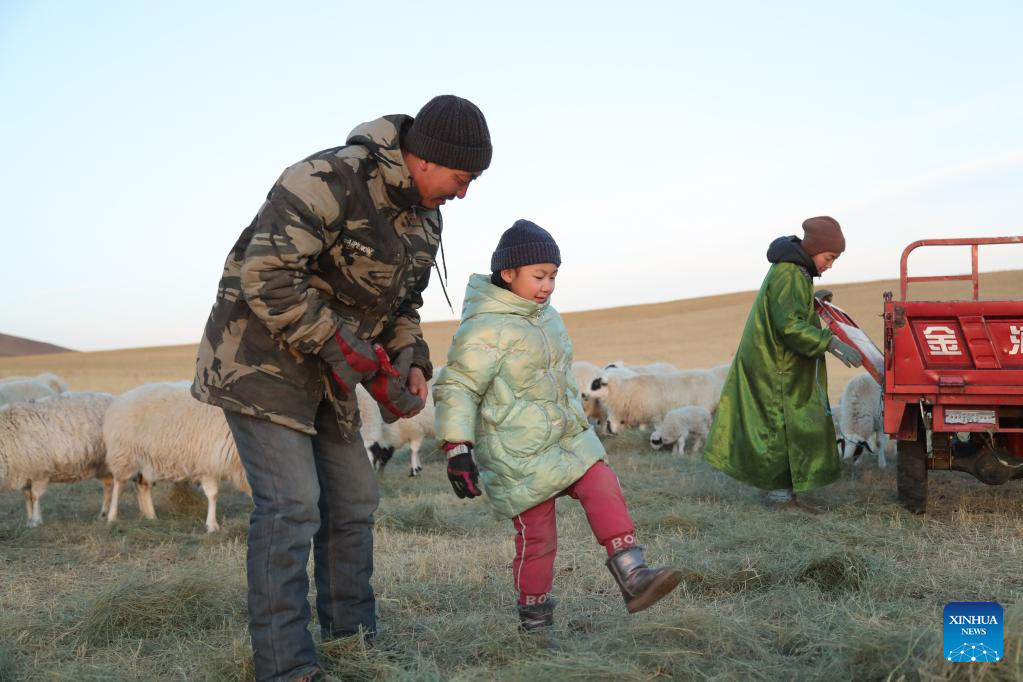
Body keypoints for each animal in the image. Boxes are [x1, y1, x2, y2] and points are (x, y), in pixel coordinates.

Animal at [0, 392, 114, 531]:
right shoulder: (26, 474)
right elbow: (28, 498)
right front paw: (30, 521)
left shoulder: (40, 472)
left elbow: (35, 497)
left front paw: (36, 521)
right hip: (104, 468)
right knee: (109, 487)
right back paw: (103, 515)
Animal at [102, 384, 250, 531]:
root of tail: (122, 398)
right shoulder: (206, 464)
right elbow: (213, 494)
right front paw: (212, 525)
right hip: (124, 456)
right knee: (119, 485)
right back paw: (112, 517)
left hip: (145, 460)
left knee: (143, 486)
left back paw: (151, 517)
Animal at [589, 366, 724, 435]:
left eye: (596, 384)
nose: (585, 394)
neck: (623, 391)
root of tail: (716, 384)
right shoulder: (643, 413)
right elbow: (641, 428)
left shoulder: (655, 415)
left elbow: (656, 428)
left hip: (703, 407)